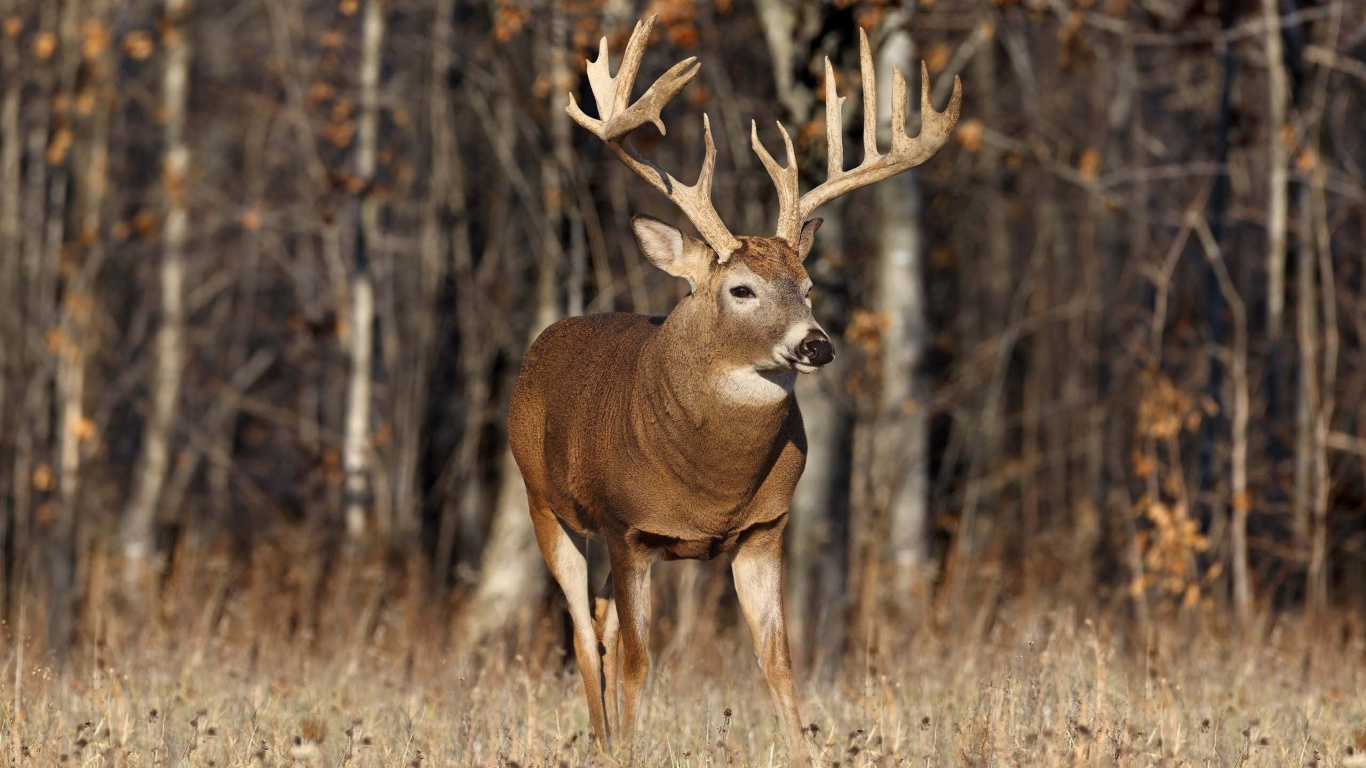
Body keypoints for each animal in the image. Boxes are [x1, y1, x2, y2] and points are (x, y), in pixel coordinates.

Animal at [507, 15, 960, 765]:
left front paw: (803, 751)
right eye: (740, 290)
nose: (816, 344)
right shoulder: (629, 528)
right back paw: (603, 741)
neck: (711, 484)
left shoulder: (764, 528)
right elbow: (640, 662)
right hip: (546, 504)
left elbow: (777, 659)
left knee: (599, 624)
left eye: (807, 285)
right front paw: (632, 750)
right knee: (581, 630)